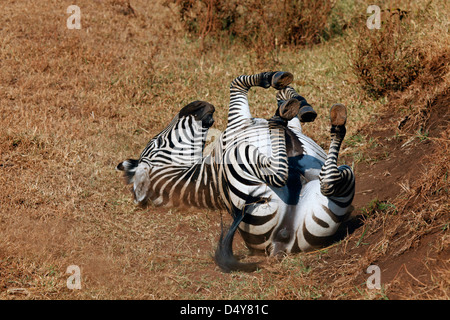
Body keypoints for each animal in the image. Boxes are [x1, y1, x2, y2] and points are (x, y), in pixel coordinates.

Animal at [118, 72, 356, 272]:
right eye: (156, 142)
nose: (195, 104)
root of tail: (279, 244)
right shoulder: (237, 121)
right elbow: (238, 82)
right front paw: (278, 88)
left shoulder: (284, 126)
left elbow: (280, 96)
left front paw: (294, 99)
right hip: (243, 156)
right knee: (295, 176)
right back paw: (289, 123)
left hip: (336, 192)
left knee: (328, 181)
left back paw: (327, 124)